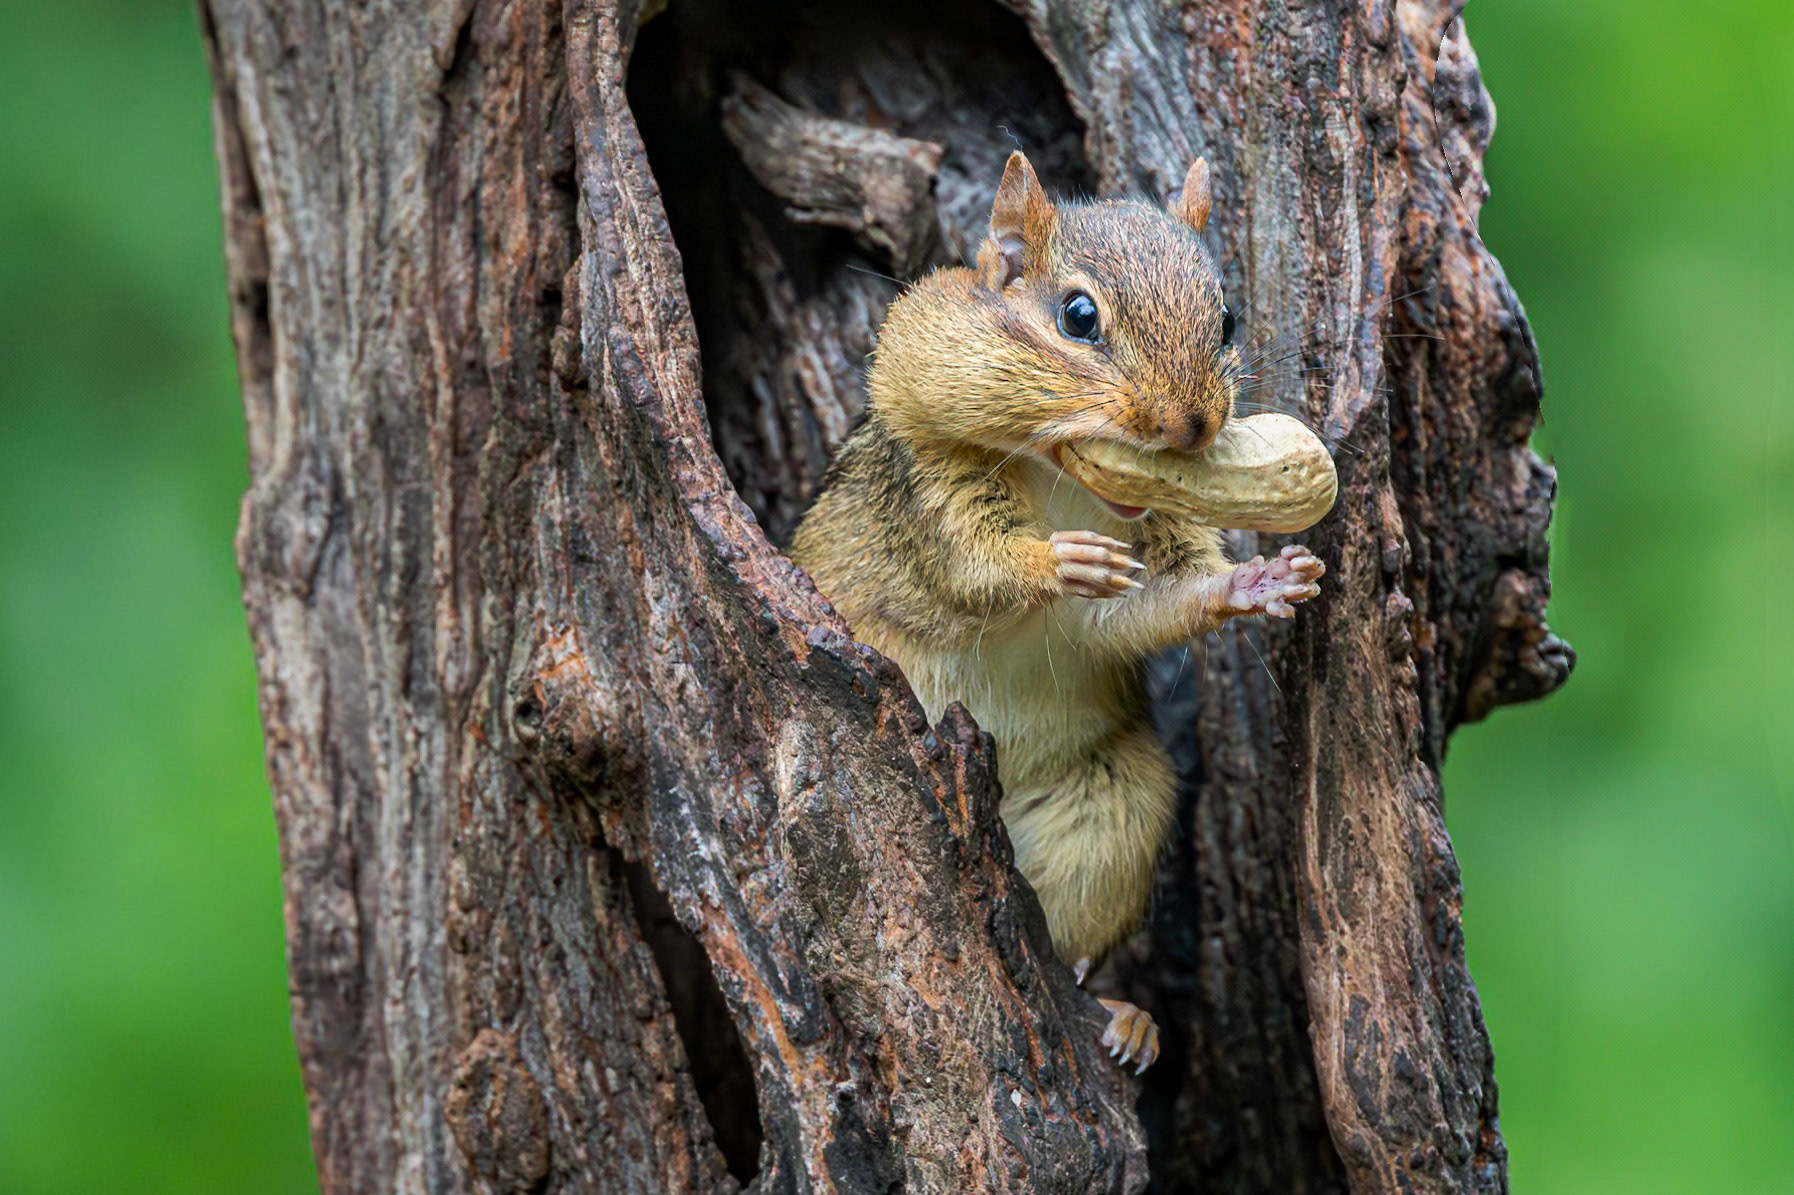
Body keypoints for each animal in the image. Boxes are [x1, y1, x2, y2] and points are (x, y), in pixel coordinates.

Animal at [790, 151, 1326, 1071]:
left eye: (1226, 318)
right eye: (1078, 317)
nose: (1190, 428)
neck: (1064, 478)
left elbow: (1141, 611)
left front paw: (1253, 584)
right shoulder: (930, 483)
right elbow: (971, 567)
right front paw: (1056, 561)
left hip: (1116, 805)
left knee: (1071, 947)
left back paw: (1122, 1015)